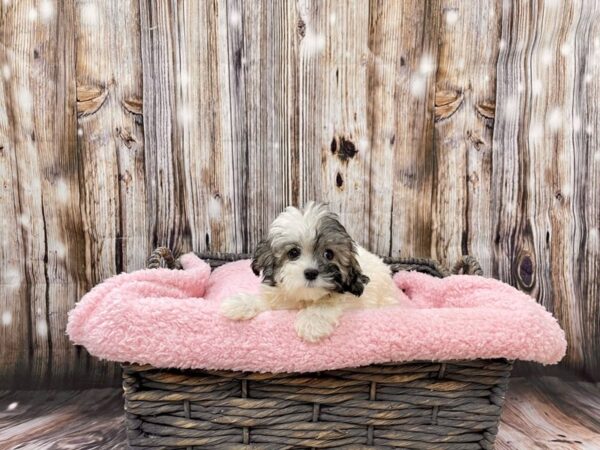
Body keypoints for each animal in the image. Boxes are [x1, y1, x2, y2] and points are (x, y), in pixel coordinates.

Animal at [220, 202, 398, 342]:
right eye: (293, 253)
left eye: (329, 254)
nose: (311, 273)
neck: (305, 297)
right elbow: (268, 300)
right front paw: (241, 303)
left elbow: (327, 303)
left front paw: (312, 322)